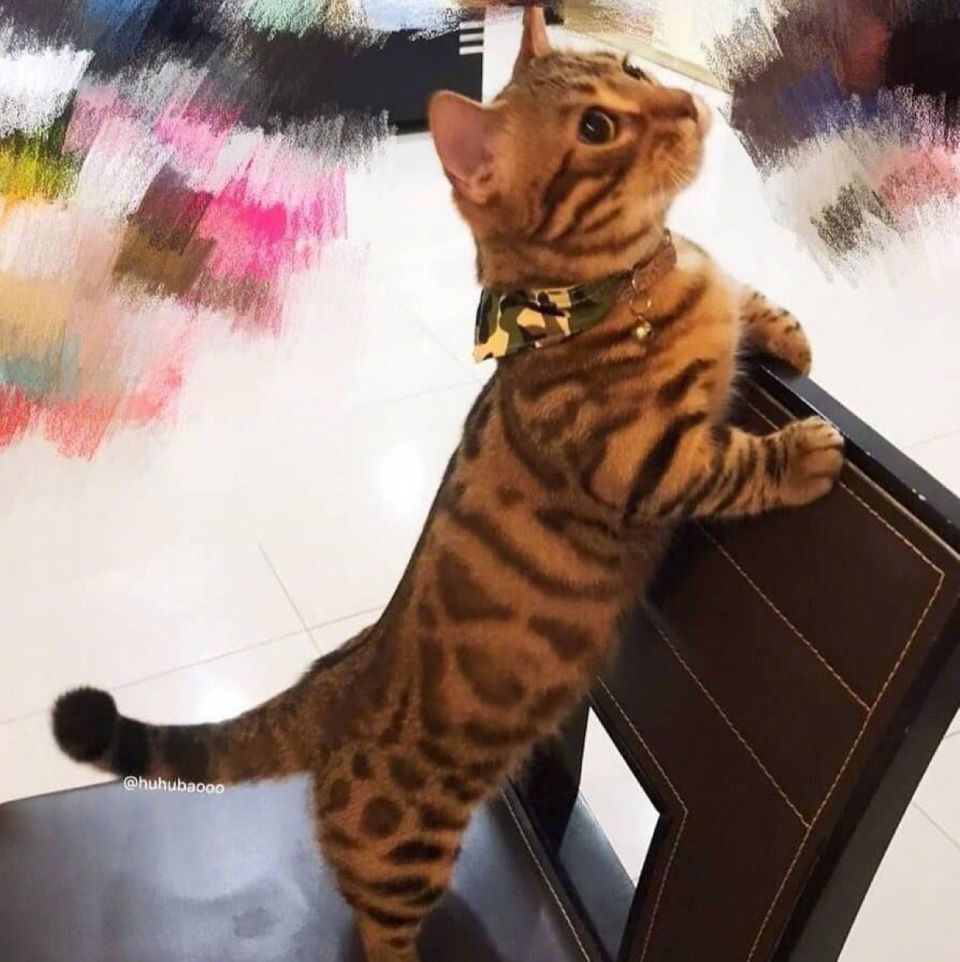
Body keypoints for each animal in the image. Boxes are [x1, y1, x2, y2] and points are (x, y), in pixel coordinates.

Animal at [51, 9, 843, 962]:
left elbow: (744, 295)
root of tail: (332, 684)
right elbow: (733, 462)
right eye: (597, 128)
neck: (622, 284)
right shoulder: (646, 460)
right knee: (376, 927)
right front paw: (803, 450)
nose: (685, 103)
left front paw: (787, 333)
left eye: (632, 66)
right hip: (404, 853)